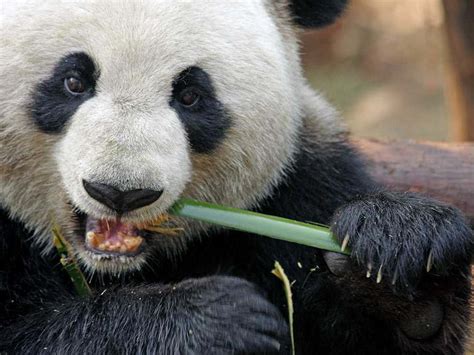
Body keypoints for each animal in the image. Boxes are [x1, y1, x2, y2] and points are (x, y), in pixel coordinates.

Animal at [0, 0, 472, 354]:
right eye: (74, 81)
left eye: (191, 95)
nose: (119, 193)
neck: (113, 269)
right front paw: (215, 321)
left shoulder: (301, 183)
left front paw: (399, 252)